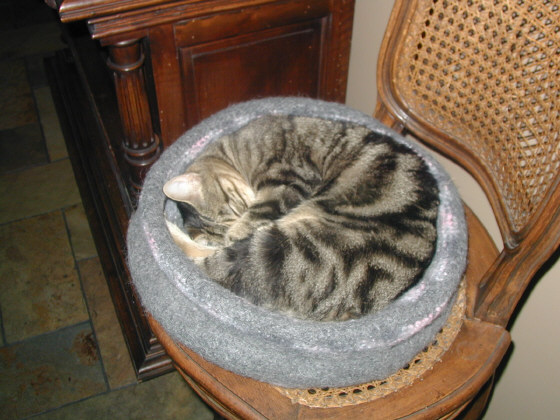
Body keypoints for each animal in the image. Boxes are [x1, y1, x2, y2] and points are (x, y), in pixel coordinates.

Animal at [162, 115, 438, 322]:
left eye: (233, 204)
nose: (233, 233)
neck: (237, 153)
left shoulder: (288, 179)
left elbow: (258, 213)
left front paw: (238, 230)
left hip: (279, 248)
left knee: (210, 266)